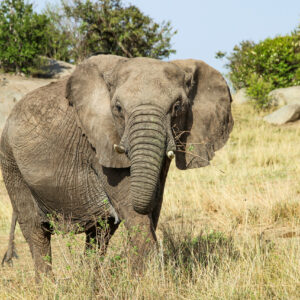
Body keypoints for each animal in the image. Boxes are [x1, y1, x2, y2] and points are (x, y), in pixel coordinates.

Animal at [0, 54, 233, 276]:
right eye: (118, 108)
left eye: (177, 107)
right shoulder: (99, 144)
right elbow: (133, 209)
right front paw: (144, 280)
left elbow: (151, 207)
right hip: (10, 161)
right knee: (35, 230)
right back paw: (48, 285)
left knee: (99, 233)